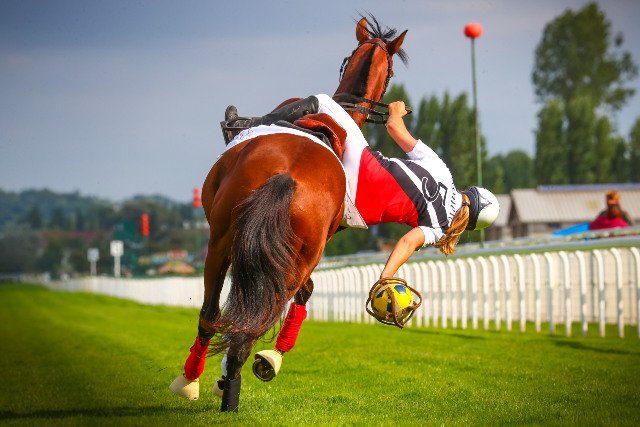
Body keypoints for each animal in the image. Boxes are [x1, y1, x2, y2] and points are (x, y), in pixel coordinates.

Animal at [170, 14, 408, 412]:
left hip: (225, 243)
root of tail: (286, 177)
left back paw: (198, 380)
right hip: (286, 254)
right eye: (390, 71)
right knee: (248, 317)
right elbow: (300, 295)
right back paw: (232, 377)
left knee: (219, 316)